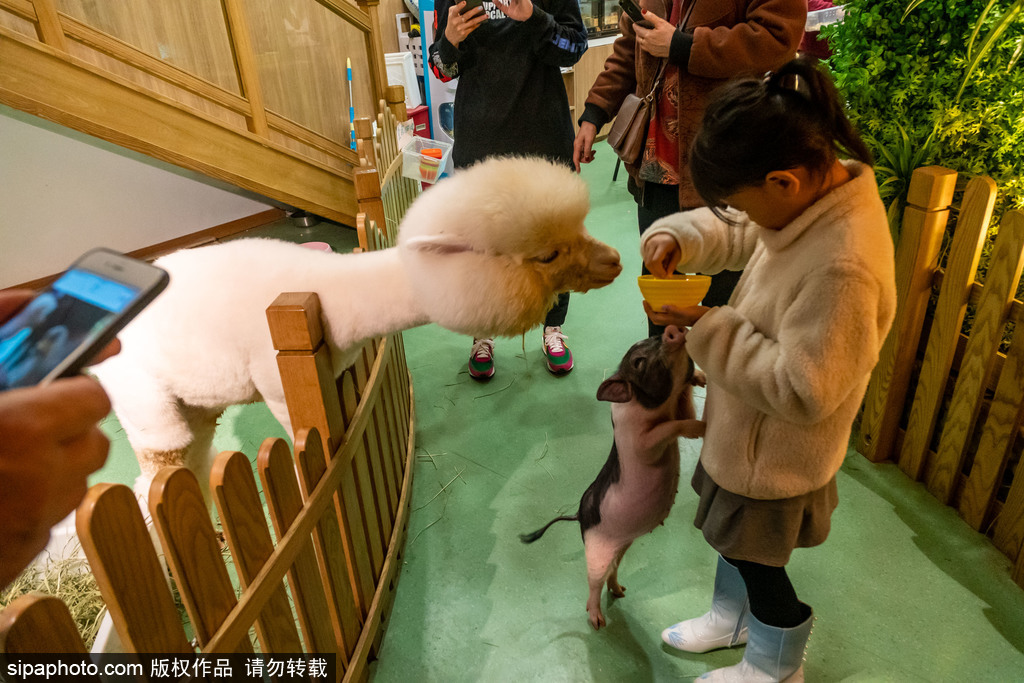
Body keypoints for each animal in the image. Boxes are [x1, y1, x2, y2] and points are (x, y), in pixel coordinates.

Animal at [520, 325, 704, 630]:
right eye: (639, 362)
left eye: (652, 338)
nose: (672, 329)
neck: (652, 406)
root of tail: (580, 516)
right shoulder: (641, 442)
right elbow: (668, 428)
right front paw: (702, 427)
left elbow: (684, 407)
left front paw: (700, 378)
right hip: (596, 553)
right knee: (593, 583)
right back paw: (598, 622)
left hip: (623, 545)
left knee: (613, 571)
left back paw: (621, 591)